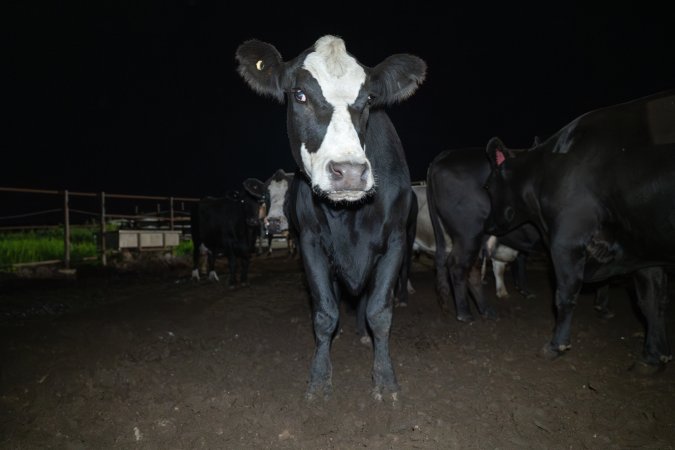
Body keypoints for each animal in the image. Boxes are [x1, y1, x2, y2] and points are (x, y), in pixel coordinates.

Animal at [238, 35, 426, 400]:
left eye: (369, 98)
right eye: (299, 94)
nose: (349, 172)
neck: (349, 217)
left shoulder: (395, 239)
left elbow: (379, 311)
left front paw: (385, 378)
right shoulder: (310, 242)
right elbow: (325, 312)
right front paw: (319, 377)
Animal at [486, 89, 675, 372]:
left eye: (488, 186)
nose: (488, 223)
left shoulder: (567, 239)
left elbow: (565, 293)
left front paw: (556, 345)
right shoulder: (645, 251)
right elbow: (651, 301)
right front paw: (653, 357)